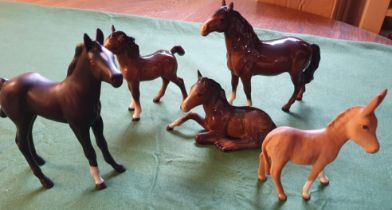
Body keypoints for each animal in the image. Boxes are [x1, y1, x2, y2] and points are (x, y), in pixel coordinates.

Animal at [0, 30, 125, 190]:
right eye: (92, 61)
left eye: (112, 56)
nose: (118, 78)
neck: (77, 92)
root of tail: (6, 83)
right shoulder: (78, 127)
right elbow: (89, 151)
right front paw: (98, 180)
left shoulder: (97, 121)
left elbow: (103, 144)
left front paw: (117, 166)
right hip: (21, 120)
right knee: (21, 143)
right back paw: (45, 181)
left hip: (30, 117)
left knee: (28, 137)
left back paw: (39, 160)